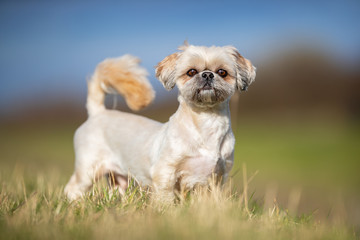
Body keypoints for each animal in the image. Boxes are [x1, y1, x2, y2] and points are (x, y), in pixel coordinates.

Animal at [64, 42, 256, 201]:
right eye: (191, 72)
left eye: (222, 72)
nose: (207, 74)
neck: (206, 122)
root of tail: (98, 113)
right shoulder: (165, 173)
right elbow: (166, 199)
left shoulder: (217, 177)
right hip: (88, 168)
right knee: (72, 188)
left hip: (118, 178)